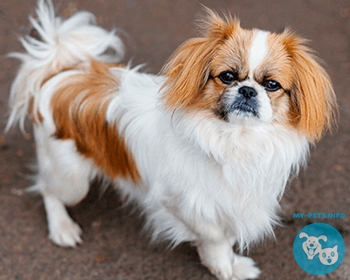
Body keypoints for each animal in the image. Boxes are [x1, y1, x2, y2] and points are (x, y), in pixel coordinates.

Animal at [6, 0, 338, 280]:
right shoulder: (180, 201)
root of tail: (61, 72)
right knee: (49, 191)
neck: (233, 139)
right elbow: (215, 237)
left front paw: (234, 264)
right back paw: (62, 228)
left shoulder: (235, 199)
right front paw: (222, 266)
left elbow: (228, 232)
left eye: (271, 85)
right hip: (72, 178)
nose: (247, 90)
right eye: (227, 77)